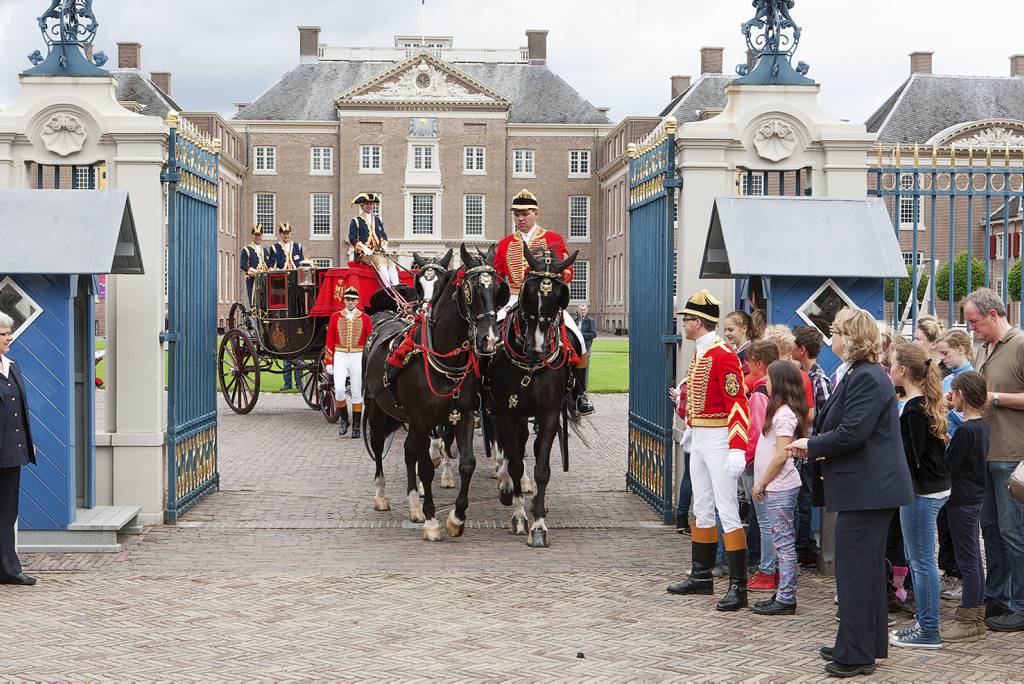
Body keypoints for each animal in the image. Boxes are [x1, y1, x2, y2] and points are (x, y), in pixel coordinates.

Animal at [362, 244, 505, 540]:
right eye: (470, 289)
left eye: (497, 288)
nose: (490, 340)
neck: (445, 357)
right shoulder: (419, 420)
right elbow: (426, 467)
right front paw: (431, 520)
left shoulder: (462, 415)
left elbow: (467, 463)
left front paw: (456, 518)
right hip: (379, 411)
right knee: (379, 447)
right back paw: (381, 496)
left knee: (408, 452)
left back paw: (414, 505)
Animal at [485, 248, 577, 548]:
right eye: (529, 291)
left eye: (558, 295)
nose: (536, 347)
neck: (531, 366)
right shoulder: (506, 412)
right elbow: (514, 462)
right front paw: (519, 516)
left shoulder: (549, 414)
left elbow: (542, 467)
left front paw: (538, 523)